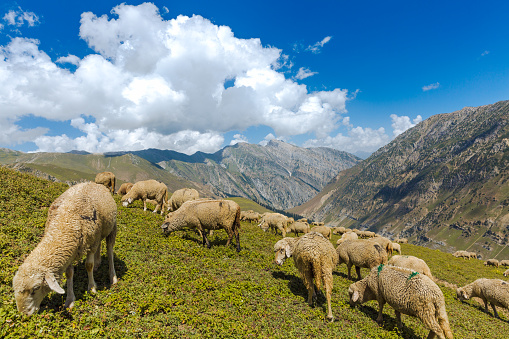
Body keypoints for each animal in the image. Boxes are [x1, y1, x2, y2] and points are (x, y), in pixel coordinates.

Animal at [12, 182, 117, 318]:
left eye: (35, 288)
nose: (23, 314)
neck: (65, 222)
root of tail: (95, 183)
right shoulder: (70, 251)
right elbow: (69, 273)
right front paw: (70, 299)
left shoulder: (91, 243)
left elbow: (88, 265)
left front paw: (92, 288)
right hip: (100, 233)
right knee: (100, 245)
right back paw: (98, 263)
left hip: (112, 227)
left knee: (109, 250)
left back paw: (113, 277)